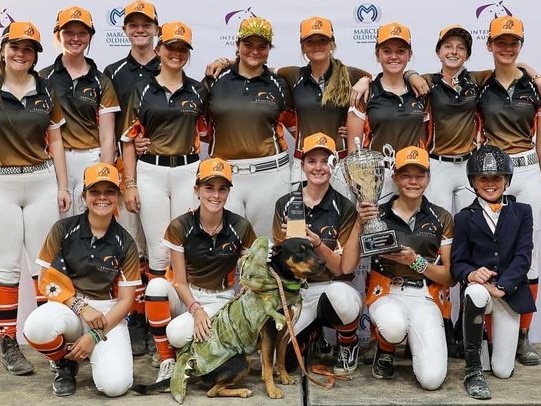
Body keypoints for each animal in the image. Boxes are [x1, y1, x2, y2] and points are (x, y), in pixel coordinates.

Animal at [132, 235, 322, 402]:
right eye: (300, 251)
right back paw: (243, 390)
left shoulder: (284, 332)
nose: (322, 263)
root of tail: (194, 367)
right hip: (241, 360)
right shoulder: (269, 333)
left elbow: (280, 358)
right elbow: (268, 365)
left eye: (313, 248)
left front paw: (284, 377)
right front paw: (272, 390)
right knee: (212, 391)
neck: (281, 283)